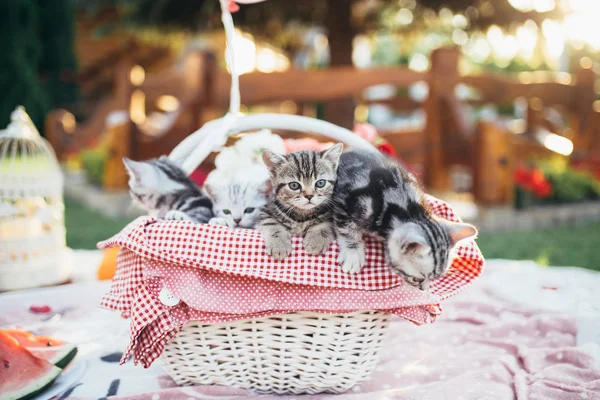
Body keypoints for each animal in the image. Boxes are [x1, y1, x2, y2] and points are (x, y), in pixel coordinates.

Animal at [330, 150, 476, 290]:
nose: (424, 290)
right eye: (416, 279)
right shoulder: (344, 201)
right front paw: (352, 253)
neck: (406, 209)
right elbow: (346, 228)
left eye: (435, 279)